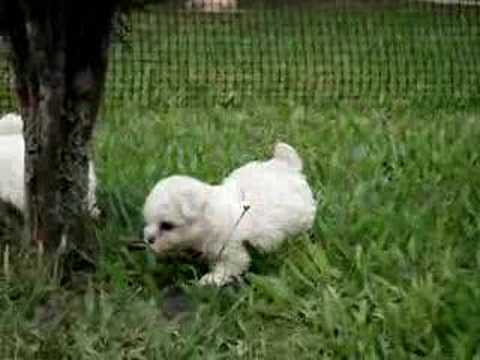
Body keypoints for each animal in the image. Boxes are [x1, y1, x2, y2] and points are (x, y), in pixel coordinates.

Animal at [141, 142, 316, 286]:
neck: (210, 216)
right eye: (148, 222)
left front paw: (210, 280)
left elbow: (228, 267)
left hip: (302, 214)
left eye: (167, 225)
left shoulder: (231, 250)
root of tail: (285, 164)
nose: (149, 240)